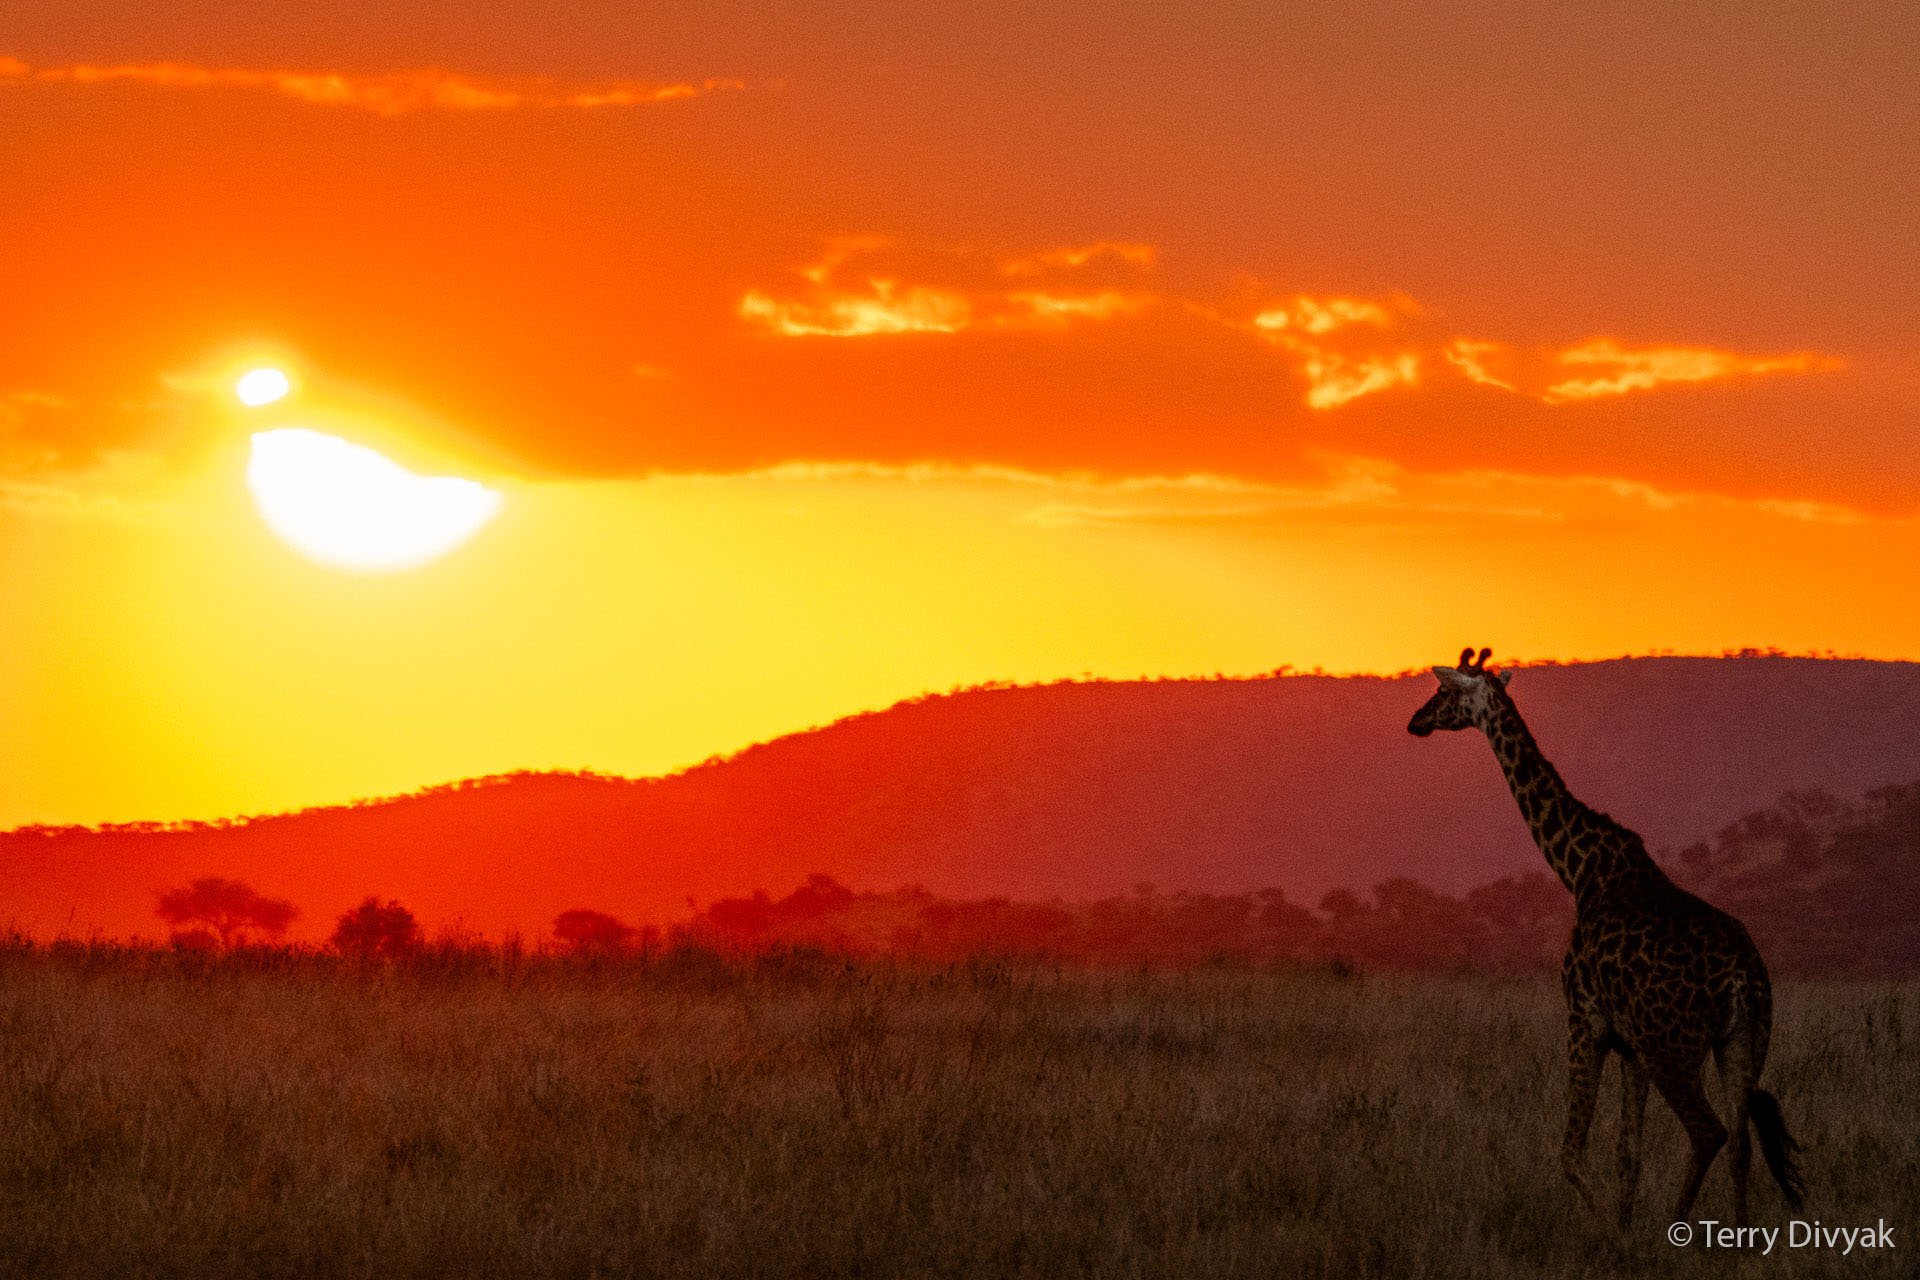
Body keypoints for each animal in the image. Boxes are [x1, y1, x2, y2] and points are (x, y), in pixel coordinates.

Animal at [1407, 647, 1805, 1228]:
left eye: (1443, 692)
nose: (1415, 722)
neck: (1581, 869)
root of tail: (1742, 977)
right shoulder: (1630, 1045)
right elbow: (1627, 1155)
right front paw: (1622, 1223)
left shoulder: (1586, 1019)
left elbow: (1571, 1151)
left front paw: (1608, 1231)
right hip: (1743, 1041)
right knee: (1740, 1142)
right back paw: (1736, 1234)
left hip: (1672, 1047)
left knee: (1709, 1132)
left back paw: (1675, 1227)